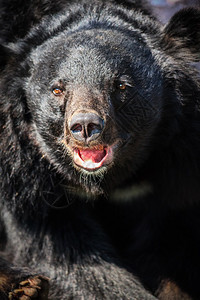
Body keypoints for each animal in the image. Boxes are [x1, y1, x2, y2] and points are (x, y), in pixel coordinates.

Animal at [0, 0, 200, 298]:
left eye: (121, 85)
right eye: (57, 89)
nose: (85, 126)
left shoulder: (179, 164)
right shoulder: (25, 181)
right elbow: (70, 260)